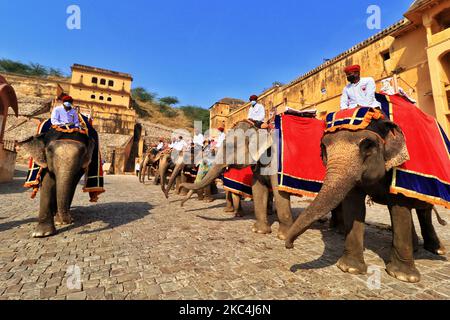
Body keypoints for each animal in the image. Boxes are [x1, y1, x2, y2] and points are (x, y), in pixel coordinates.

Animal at [284, 116, 446, 284]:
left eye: (368, 146)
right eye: (323, 147)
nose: (290, 245)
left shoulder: (400, 170)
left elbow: (399, 206)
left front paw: (404, 277)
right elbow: (354, 205)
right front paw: (350, 268)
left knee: (424, 210)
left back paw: (437, 249)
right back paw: (415, 248)